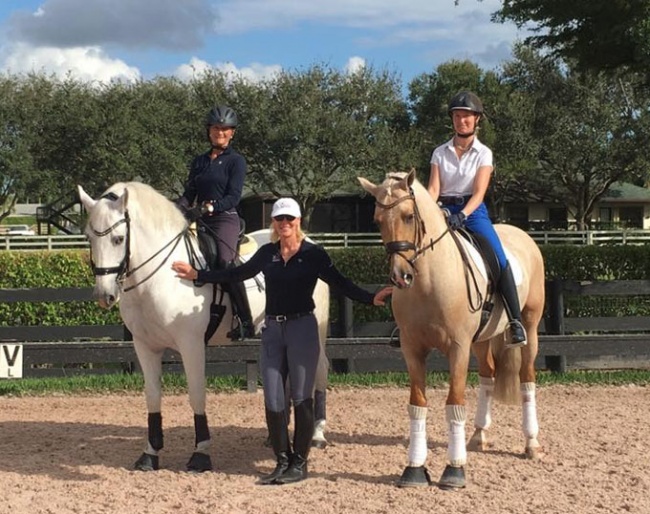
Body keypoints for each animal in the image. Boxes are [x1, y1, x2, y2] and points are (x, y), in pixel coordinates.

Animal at [78, 181, 330, 472]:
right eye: (89, 238)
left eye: (118, 239)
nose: (104, 295)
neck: (162, 276)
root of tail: (310, 242)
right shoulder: (144, 346)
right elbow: (152, 397)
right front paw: (150, 454)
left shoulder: (191, 345)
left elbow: (197, 395)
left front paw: (200, 454)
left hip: (314, 331)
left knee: (319, 371)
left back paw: (318, 434)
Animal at [356, 170, 544, 486]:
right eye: (377, 221)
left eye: (409, 216)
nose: (400, 276)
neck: (429, 281)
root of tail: (520, 234)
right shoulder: (412, 349)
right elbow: (417, 405)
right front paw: (414, 468)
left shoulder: (457, 349)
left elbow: (454, 404)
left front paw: (454, 470)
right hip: (481, 340)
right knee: (488, 376)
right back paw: (479, 435)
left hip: (529, 327)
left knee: (527, 378)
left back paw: (531, 443)